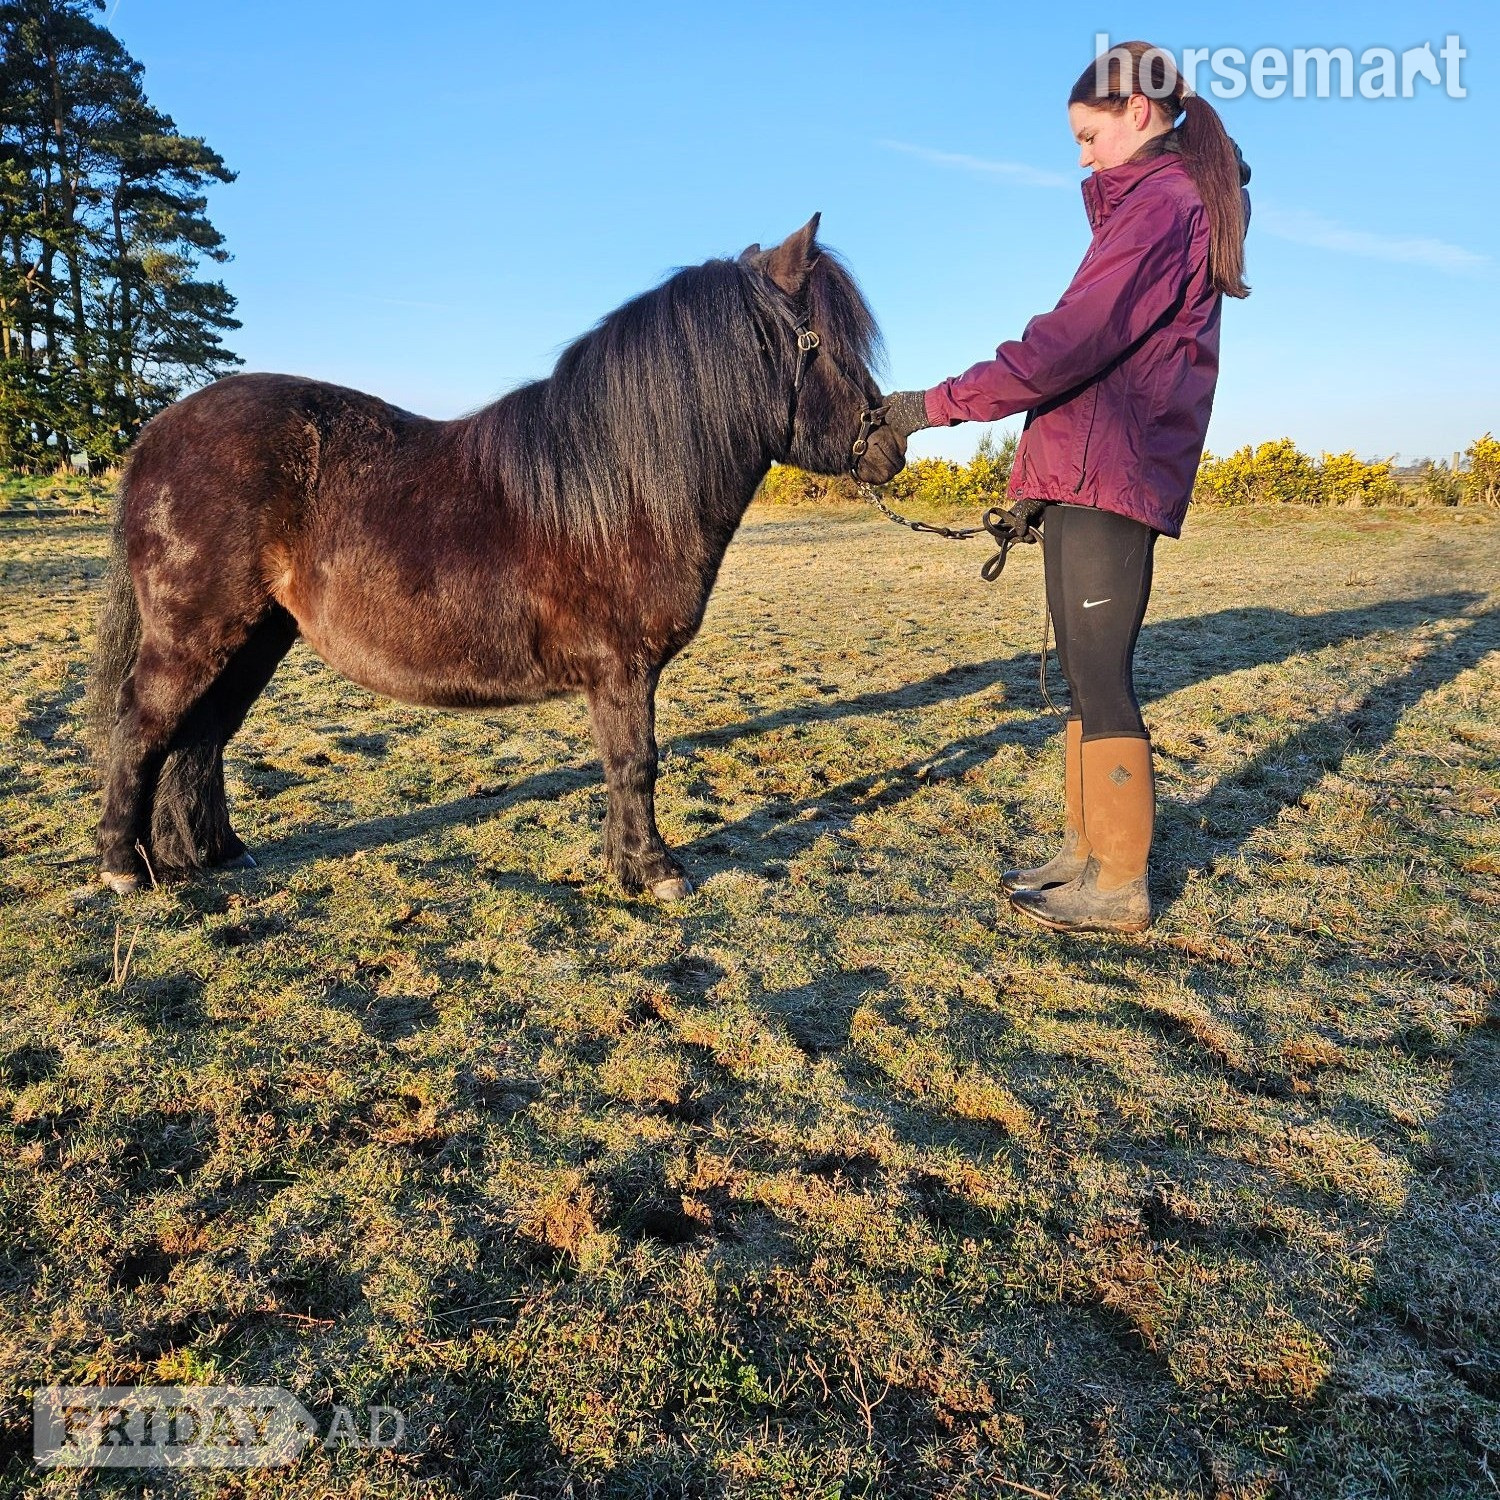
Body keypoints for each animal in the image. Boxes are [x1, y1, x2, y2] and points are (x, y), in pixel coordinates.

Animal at [86, 215, 906, 902]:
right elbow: (636, 762)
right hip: (194, 635)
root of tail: (156, 433)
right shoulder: (622, 668)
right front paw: (657, 870)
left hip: (255, 639)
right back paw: (126, 867)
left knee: (199, 736)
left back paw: (213, 855)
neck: (623, 490)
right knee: (143, 728)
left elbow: (622, 765)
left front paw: (625, 866)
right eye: (825, 344)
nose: (890, 446)